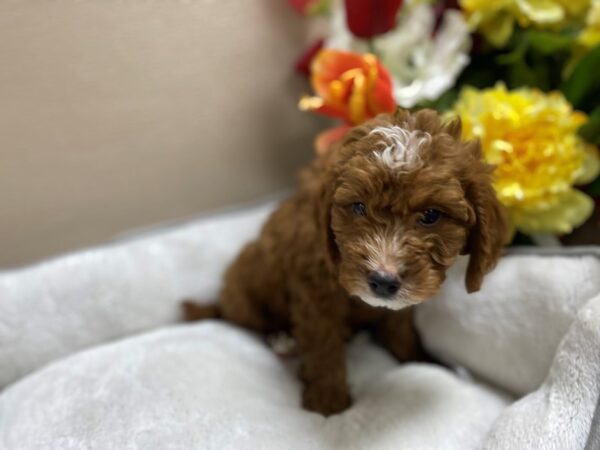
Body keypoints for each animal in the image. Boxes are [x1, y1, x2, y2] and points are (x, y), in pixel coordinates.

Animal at [184, 108, 506, 414]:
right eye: (359, 207)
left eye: (431, 215)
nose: (383, 281)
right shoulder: (313, 292)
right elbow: (324, 345)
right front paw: (328, 401)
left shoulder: (397, 305)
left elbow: (400, 327)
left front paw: (422, 359)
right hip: (244, 290)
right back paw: (281, 338)